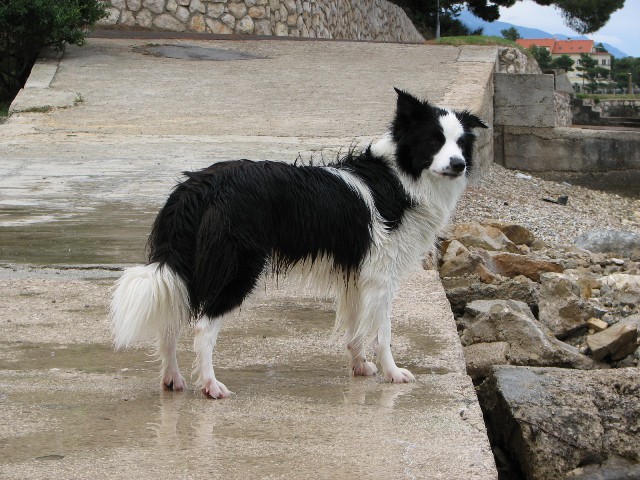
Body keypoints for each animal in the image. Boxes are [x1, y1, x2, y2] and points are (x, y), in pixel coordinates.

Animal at [112, 89, 488, 398]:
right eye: (434, 141)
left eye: (460, 144)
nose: (459, 164)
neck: (400, 178)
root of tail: (200, 184)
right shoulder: (382, 278)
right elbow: (383, 332)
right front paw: (393, 373)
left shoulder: (356, 274)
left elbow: (355, 327)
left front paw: (359, 366)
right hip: (238, 268)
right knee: (203, 326)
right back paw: (210, 385)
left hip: (189, 265)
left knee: (171, 320)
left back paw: (173, 379)